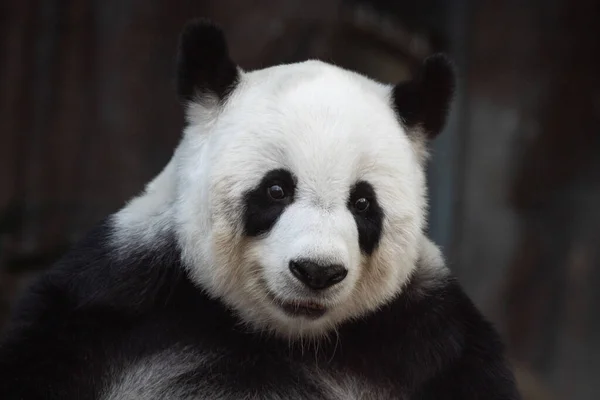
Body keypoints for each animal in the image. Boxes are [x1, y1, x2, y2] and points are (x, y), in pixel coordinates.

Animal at [0, 18, 520, 400]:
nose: (317, 271)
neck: (275, 334)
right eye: (276, 190)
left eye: (363, 203)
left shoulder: (433, 342)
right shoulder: (107, 303)